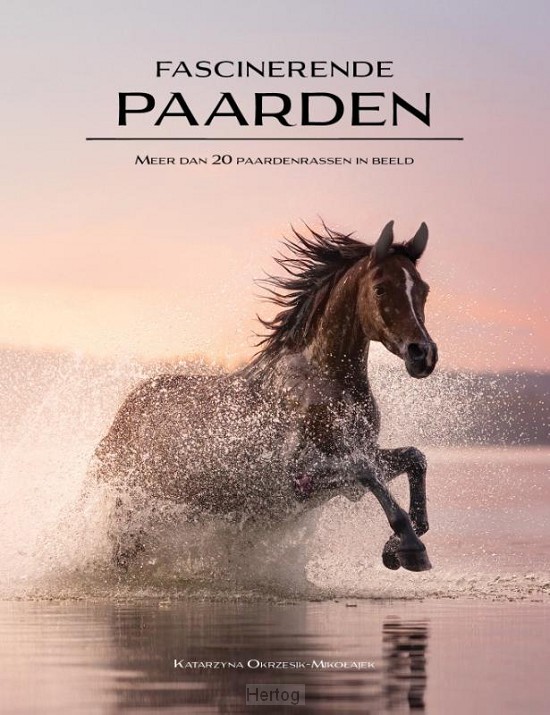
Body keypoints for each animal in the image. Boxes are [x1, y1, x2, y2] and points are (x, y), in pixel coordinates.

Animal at [92, 220, 438, 573]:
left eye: (423, 290)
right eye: (381, 288)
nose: (422, 354)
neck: (324, 387)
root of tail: (123, 415)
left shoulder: (360, 458)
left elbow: (415, 459)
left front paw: (397, 546)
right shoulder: (298, 478)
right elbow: (367, 473)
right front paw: (410, 548)